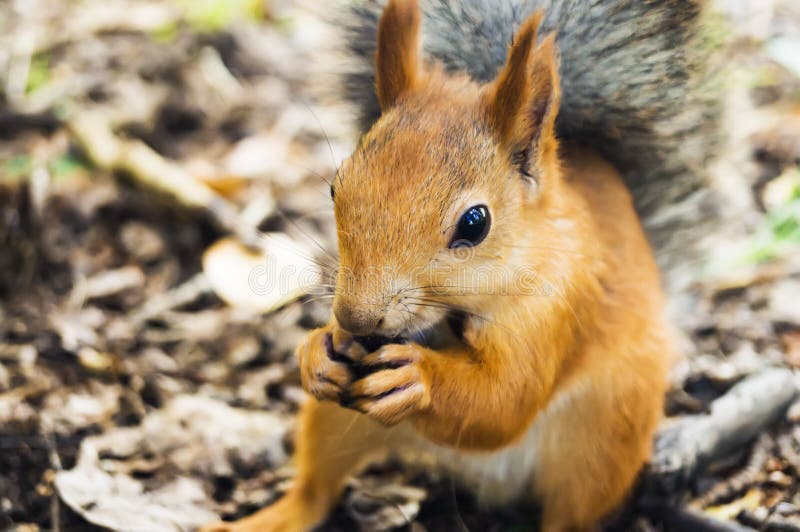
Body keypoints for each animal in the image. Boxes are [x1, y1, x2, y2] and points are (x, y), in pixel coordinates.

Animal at [203, 0, 720, 528]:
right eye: (335, 187)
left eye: (475, 222)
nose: (355, 318)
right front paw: (316, 353)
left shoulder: (557, 310)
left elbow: (504, 402)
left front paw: (418, 379)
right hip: (337, 418)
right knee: (315, 489)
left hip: (603, 438)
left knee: (571, 512)